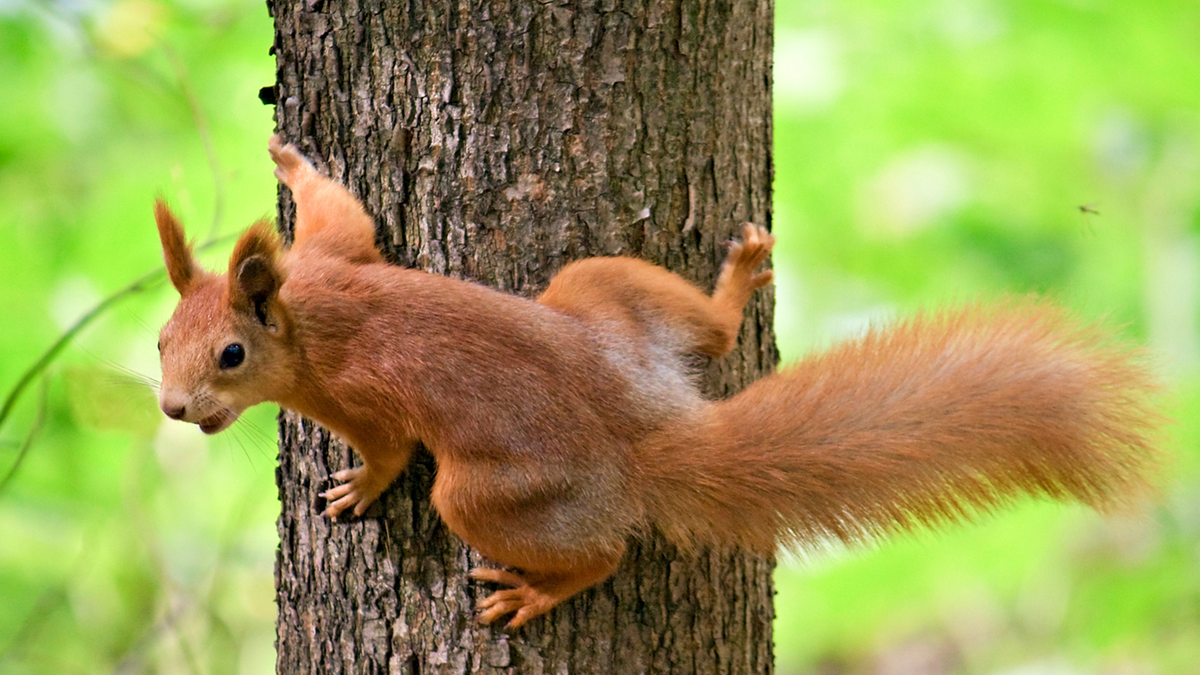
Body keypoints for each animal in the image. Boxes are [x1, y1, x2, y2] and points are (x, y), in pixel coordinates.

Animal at [154, 135, 1161, 629]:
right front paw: (292, 161)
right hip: (605, 296)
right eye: (162, 339)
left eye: (230, 357)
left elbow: (390, 446)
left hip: (494, 492)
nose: (173, 408)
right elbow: (344, 209)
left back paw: (538, 591)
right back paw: (736, 281)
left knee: (595, 552)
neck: (307, 321)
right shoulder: (334, 255)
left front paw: (359, 485)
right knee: (704, 329)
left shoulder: (359, 387)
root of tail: (645, 432)